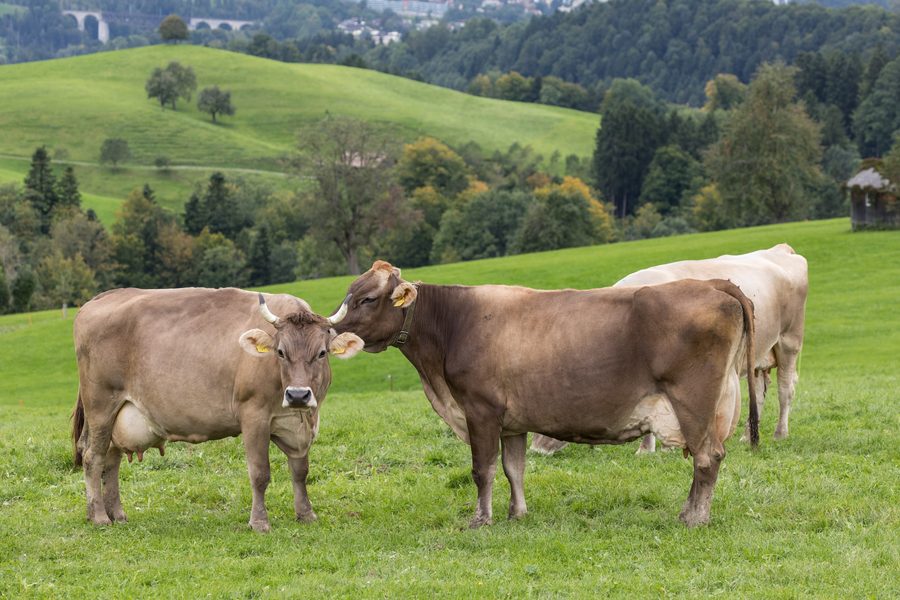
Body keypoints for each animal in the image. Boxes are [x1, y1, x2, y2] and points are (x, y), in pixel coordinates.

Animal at [72, 287, 363, 532]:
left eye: (322, 353)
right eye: (280, 352)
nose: (298, 395)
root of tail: (102, 297)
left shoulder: (301, 424)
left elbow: (300, 471)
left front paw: (306, 514)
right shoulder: (254, 416)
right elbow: (260, 473)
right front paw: (259, 522)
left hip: (117, 416)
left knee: (111, 460)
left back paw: (115, 514)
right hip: (100, 406)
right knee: (93, 457)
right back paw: (99, 517)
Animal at [330, 260, 758, 528]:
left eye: (367, 299)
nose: (332, 330)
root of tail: (710, 283)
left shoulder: (480, 411)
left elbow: (482, 469)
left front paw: (480, 519)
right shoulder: (512, 421)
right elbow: (513, 468)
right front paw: (517, 513)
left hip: (694, 402)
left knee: (707, 457)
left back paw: (694, 518)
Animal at [531, 243, 808, 456]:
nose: (536, 450)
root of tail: (780, 249)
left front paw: (649, 449)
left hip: (789, 341)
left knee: (786, 389)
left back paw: (780, 433)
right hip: (759, 355)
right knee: (759, 392)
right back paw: (747, 436)